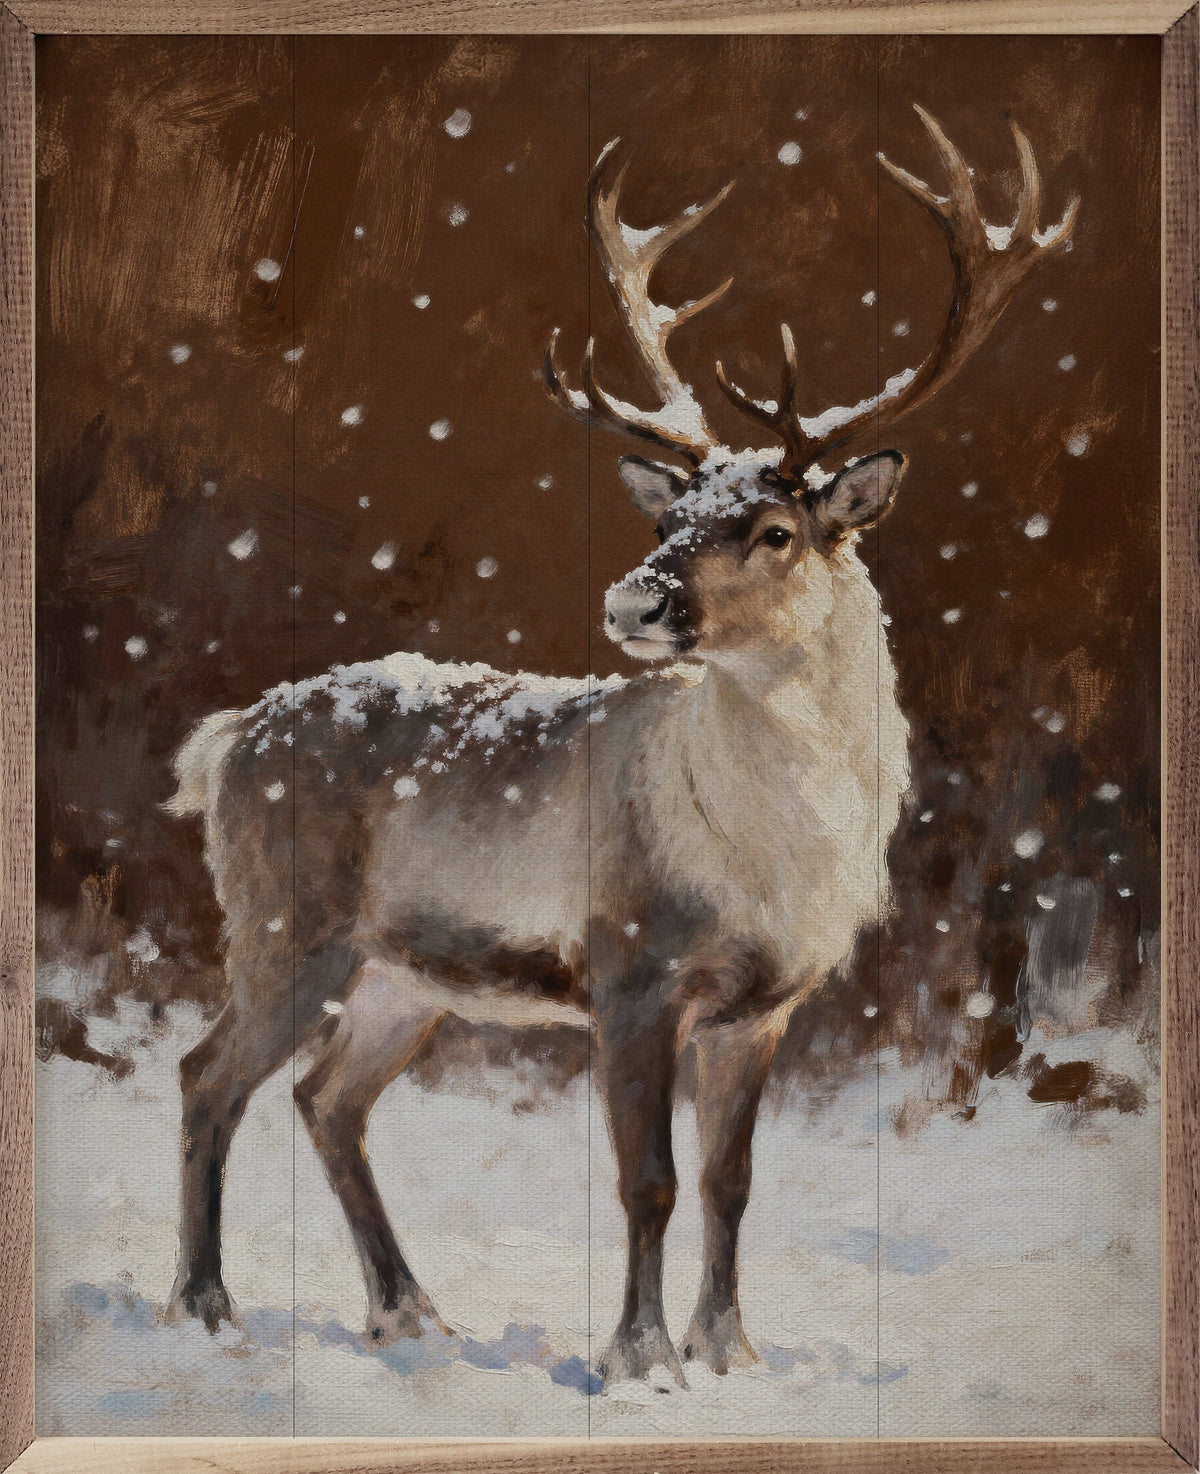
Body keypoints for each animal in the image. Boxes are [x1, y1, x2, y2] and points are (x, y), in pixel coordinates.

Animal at [163, 108, 1077, 1385]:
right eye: (669, 515)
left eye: (775, 527)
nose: (635, 598)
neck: (767, 859)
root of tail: (228, 737)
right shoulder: (632, 966)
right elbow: (646, 1179)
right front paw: (640, 1356)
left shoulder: (765, 1004)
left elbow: (731, 1181)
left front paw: (731, 1350)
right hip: (285, 921)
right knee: (209, 1076)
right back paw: (205, 1305)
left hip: (403, 970)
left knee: (326, 1098)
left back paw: (409, 1311)